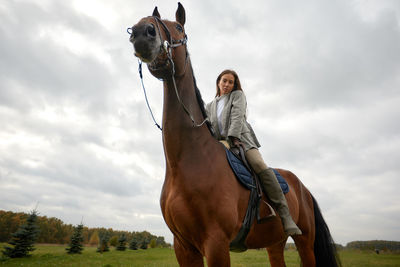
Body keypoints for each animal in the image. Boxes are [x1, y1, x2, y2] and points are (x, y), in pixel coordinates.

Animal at [128, 2, 340, 267]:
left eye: (178, 27)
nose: (141, 32)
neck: (187, 163)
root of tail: (304, 189)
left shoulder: (216, 243)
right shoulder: (183, 247)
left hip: (305, 242)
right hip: (275, 243)